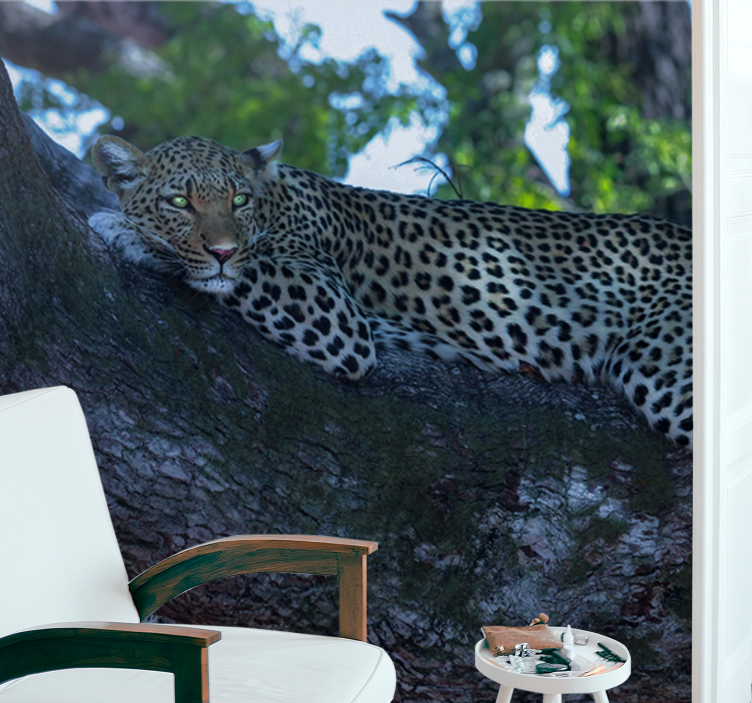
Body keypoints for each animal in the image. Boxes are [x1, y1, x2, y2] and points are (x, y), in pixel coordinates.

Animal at [89, 135, 693, 448]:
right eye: (179, 202)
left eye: (238, 201)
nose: (221, 249)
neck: (276, 203)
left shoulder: (332, 311)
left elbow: (245, 270)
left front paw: (125, 231)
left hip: (663, 370)